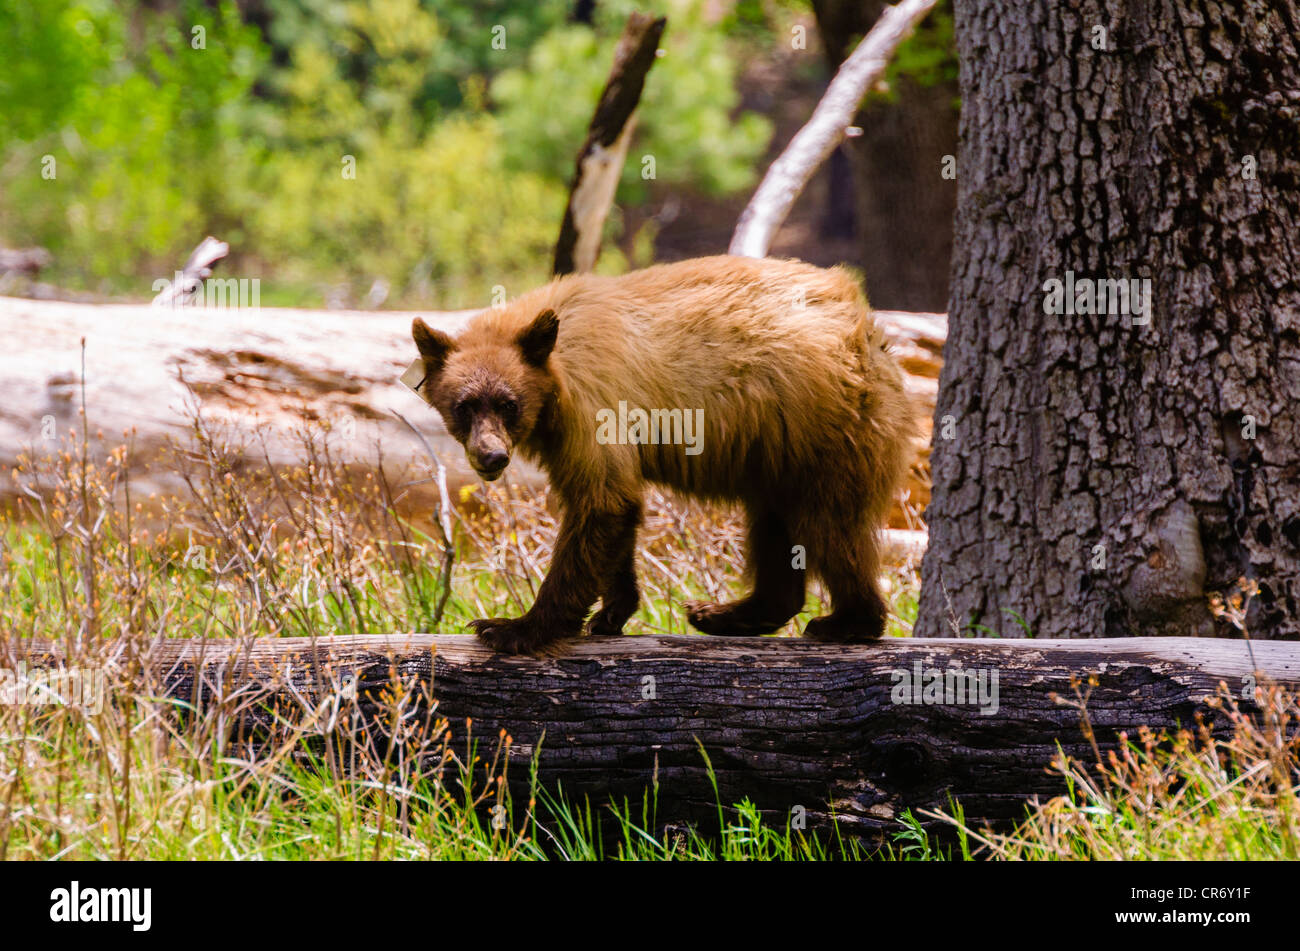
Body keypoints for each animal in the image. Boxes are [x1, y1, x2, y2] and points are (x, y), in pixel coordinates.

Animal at [407, 255, 915, 654]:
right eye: (464, 406)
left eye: (508, 404)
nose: (491, 457)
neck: (556, 372)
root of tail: (869, 329)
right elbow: (614, 506)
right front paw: (613, 611)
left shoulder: (594, 401)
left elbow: (603, 499)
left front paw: (513, 627)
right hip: (777, 449)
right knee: (774, 524)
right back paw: (723, 613)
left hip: (827, 429)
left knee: (829, 524)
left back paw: (846, 621)